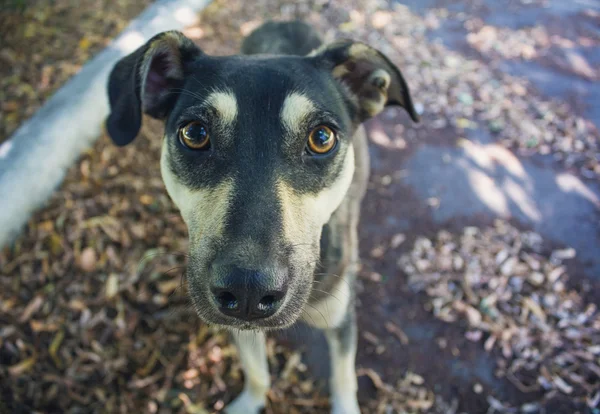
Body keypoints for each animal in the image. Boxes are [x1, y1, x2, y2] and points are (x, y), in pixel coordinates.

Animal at [104, 20, 418, 414]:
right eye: (194, 133)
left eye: (322, 138)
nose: (248, 290)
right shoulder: (241, 327)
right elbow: (257, 373)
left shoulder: (341, 318)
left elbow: (344, 378)